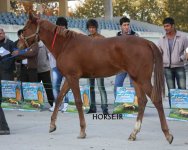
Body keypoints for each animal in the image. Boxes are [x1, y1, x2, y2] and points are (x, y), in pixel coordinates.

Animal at [17, 13, 173, 144]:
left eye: (25, 29)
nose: (18, 46)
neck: (66, 45)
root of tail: (147, 43)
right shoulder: (68, 78)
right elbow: (60, 97)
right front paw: (52, 125)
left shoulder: (73, 77)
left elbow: (78, 102)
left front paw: (82, 131)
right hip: (135, 79)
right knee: (142, 101)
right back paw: (133, 133)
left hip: (142, 79)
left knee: (156, 100)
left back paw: (168, 134)